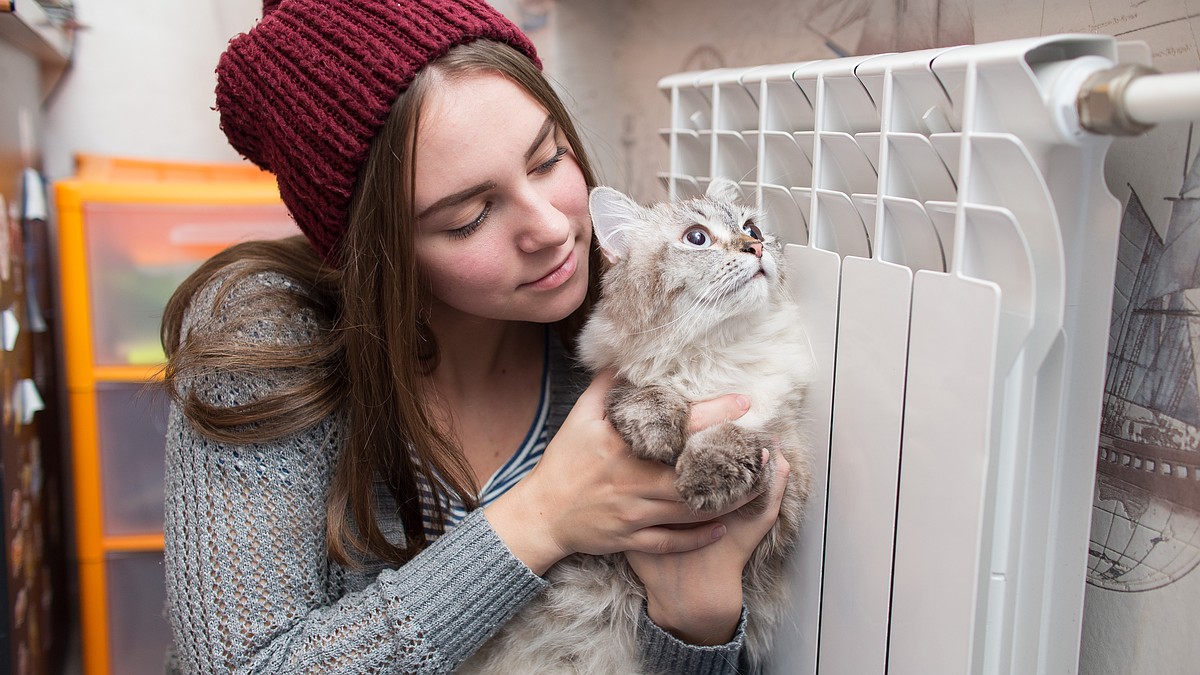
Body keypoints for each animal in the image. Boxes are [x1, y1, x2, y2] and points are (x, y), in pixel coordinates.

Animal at [458, 178, 816, 672]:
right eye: (697, 238)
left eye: (752, 228)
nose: (756, 247)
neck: (713, 354)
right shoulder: (618, 383)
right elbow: (642, 393)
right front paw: (658, 432)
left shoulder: (786, 471)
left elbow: (743, 434)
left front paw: (702, 474)